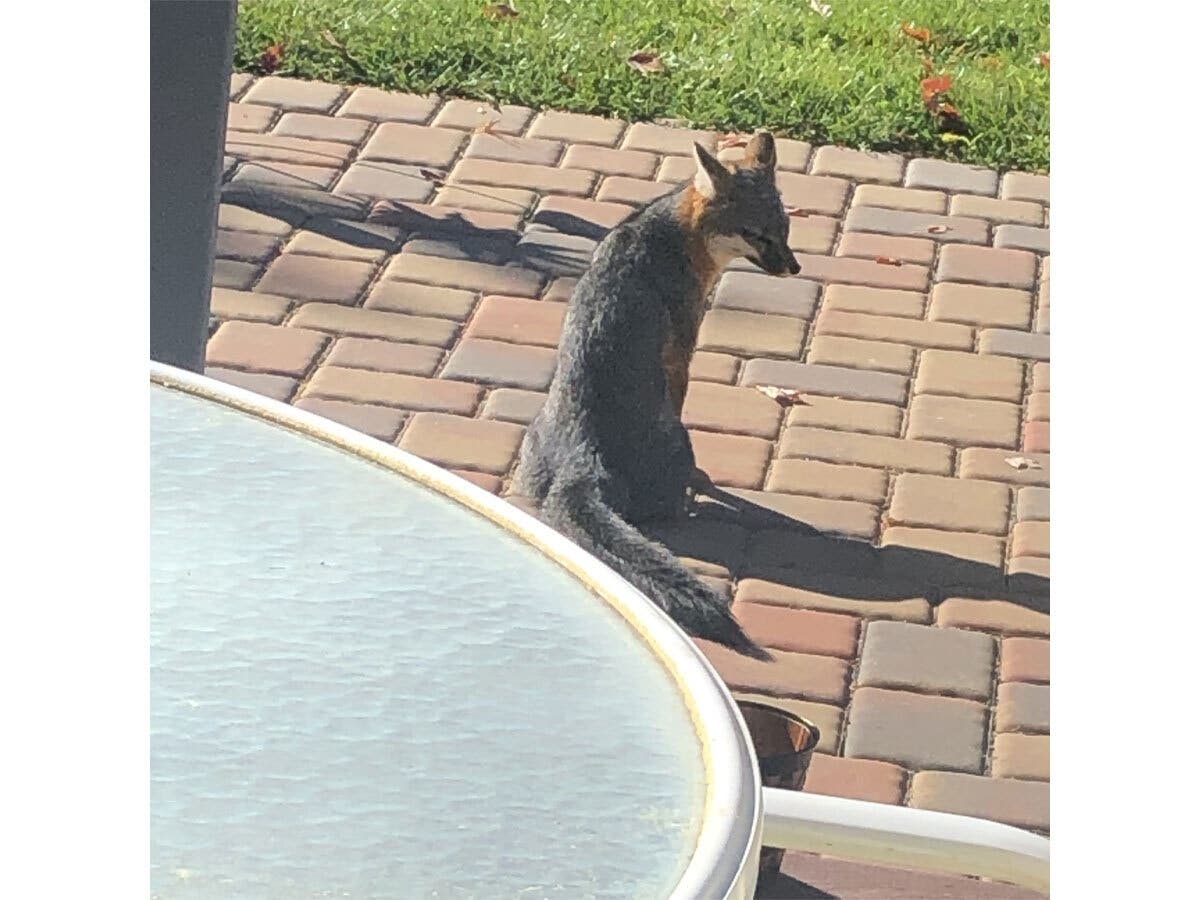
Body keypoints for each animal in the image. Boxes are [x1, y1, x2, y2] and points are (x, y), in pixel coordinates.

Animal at [513, 132, 800, 660]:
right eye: (757, 235)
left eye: (785, 229)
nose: (793, 266)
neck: (670, 229)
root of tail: (583, 456)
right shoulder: (681, 351)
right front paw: (705, 483)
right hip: (678, 440)